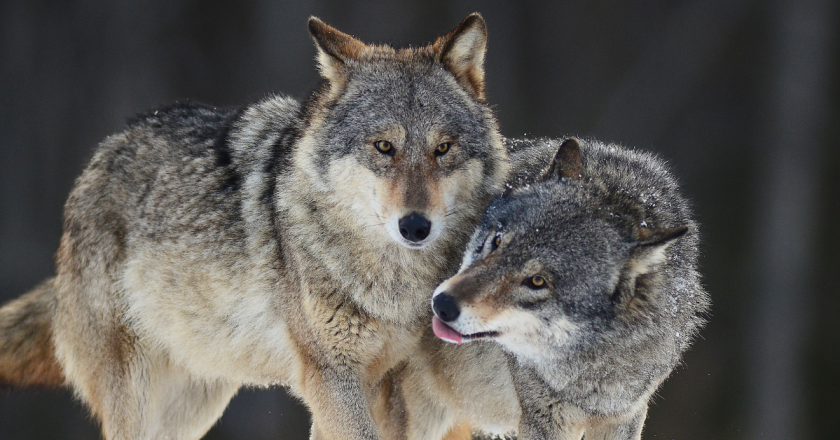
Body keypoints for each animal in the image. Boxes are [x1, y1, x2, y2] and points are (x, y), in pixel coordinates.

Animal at [0, 14, 509, 440]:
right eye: (384, 147)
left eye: (443, 148)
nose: (416, 226)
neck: (389, 280)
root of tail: (102, 152)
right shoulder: (330, 375)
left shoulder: (380, 383)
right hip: (138, 398)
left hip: (195, 406)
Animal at [385, 137, 709, 440]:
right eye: (497, 241)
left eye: (538, 281)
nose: (442, 304)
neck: (595, 363)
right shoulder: (544, 417)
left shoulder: (624, 417)